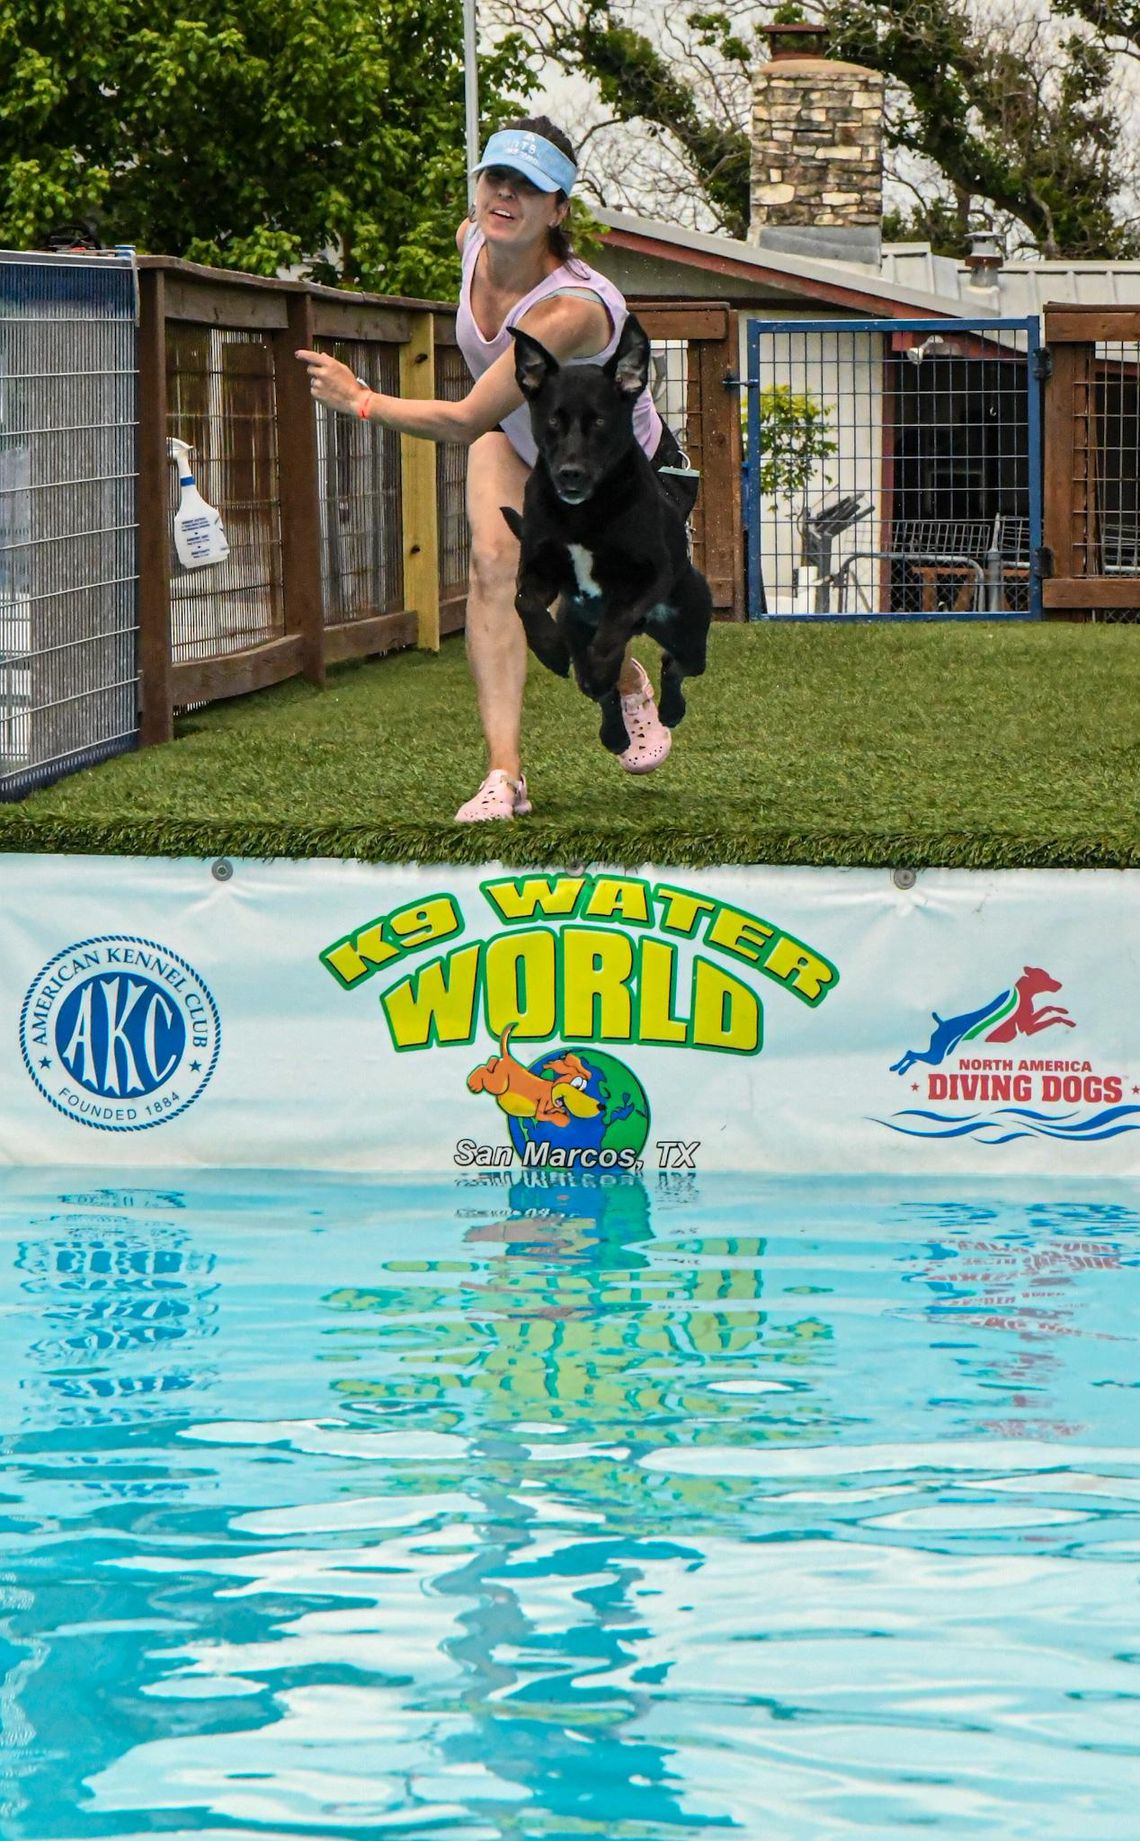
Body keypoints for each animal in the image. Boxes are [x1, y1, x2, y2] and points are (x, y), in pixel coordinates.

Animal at [500, 316, 710, 754]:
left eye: (599, 421)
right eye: (552, 421)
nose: (570, 474)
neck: (582, 513)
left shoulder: (650, 575)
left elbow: (616, 621)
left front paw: (602, 660)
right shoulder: (538, 567)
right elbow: (524, 602)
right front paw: (550, 650)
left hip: (690, 631)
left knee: (673, 664)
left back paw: (670, 710)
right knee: (607, 692)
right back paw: (614, 734)